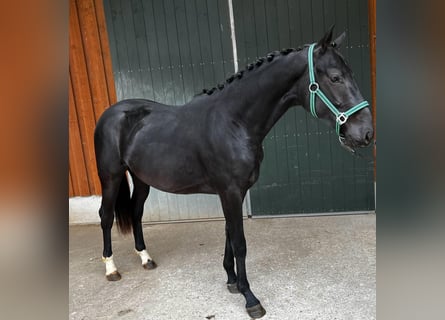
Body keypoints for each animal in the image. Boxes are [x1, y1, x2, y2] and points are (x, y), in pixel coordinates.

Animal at [93, 28, 372, 318]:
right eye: (336, 77)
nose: (366, 133)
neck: (233, 121)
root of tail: (111, 113)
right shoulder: (230, 192)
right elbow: (239, 242)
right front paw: (250, 297)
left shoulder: (234, 192)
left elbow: (229, 233)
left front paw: (231, 281)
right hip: (111, 177)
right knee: (106, 216)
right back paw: (111, 268)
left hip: (141, 179)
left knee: (136, 213)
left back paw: (146, 258)